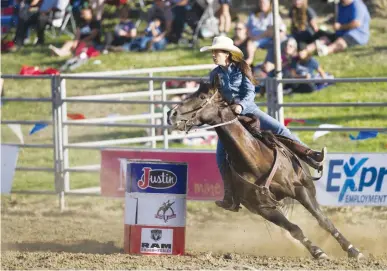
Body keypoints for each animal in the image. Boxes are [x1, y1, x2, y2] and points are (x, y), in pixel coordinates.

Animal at [168, 81, 366, 262]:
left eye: (202, 96)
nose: (172, 114)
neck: (254, 160)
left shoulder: (298, 190)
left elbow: (322, 220)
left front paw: (353, 250)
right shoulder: (263, 208)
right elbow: (294, 229)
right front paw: (317, 252)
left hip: (307, 185)